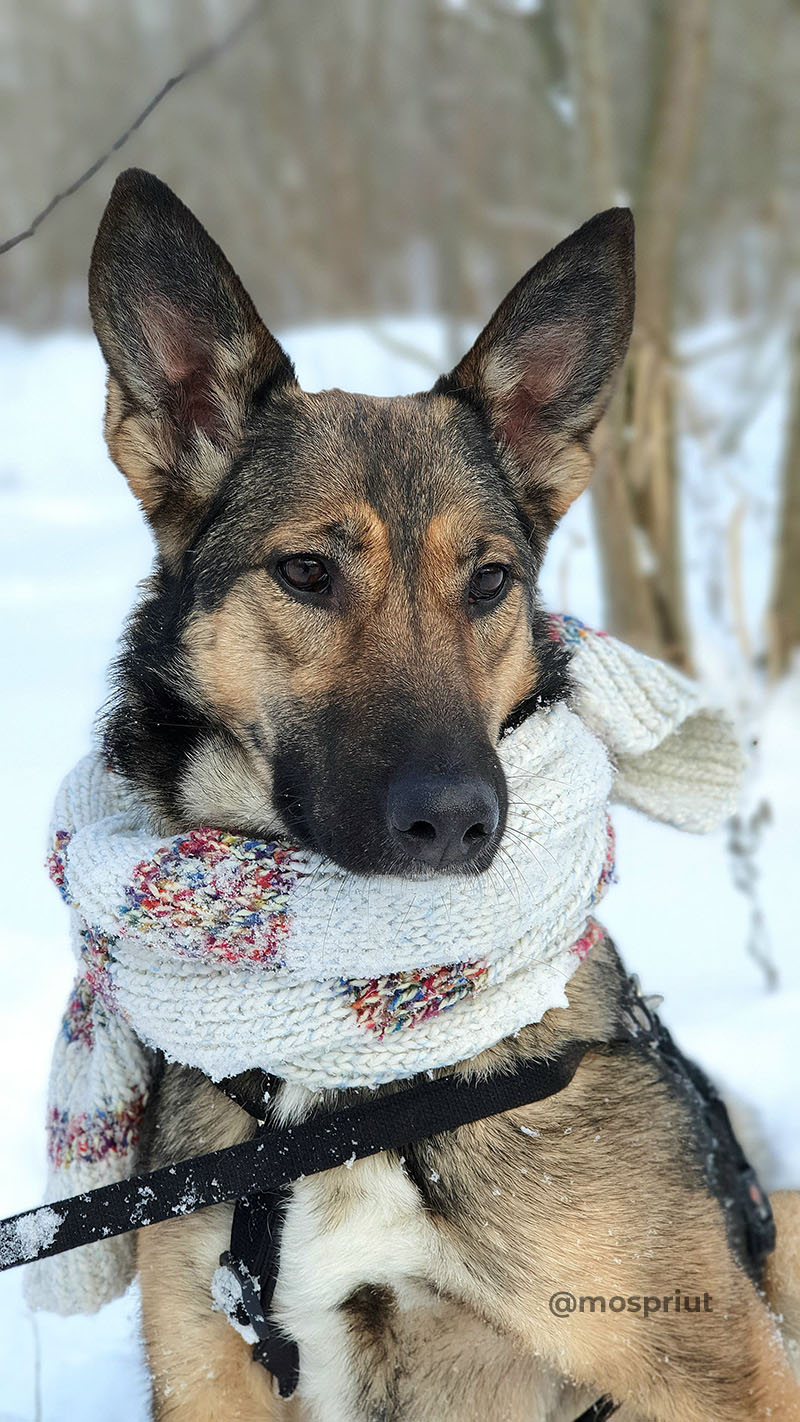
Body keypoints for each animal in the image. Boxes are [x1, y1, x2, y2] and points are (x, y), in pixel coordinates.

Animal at [83, 169, 800, 1422]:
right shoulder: (209, 1369)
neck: (349, 1082)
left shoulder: (711, 1365)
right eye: (306, 572)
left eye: (490, 581)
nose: (458, 820)